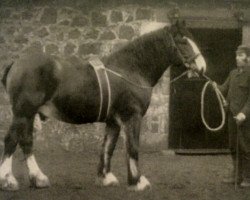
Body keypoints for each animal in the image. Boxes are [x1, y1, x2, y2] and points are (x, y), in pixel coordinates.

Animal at [0, 19, 205, 191]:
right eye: (183, 41)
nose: (202, 67)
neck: (130, 69)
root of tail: (16, 63)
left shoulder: (113, 121)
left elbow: (108, 147)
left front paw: (106, 177)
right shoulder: (132, 116)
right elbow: (133, 147)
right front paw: (138, 181)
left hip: (29, 114)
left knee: (26, 141)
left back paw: (38, 178)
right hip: (23, 112)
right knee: (11, 140)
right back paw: (8, 180)